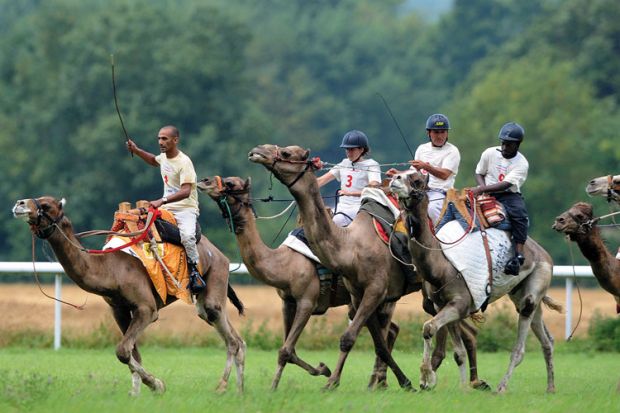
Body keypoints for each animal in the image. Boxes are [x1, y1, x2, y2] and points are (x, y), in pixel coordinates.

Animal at [12, 198, 245, 394]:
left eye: (46, 204)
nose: (19, 203)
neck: (110, 269)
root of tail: (221, 254)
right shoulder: (119, 309)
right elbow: (133, 353)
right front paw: (135, 393)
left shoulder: (146, 308)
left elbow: (123, 351)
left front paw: (156, 385)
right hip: (205, 301)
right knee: (235, 338)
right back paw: (239, 391)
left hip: (215, 277)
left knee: (231, 338)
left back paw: (222, 387)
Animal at [197, 175, 402, 388]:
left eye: (230, 184)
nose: (204, 181)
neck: (284, 263)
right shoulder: (287, 302)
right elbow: (290, 350)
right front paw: (322, 369)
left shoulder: (307, 301)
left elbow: (286, 350)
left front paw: (275, 386)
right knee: (390, 330)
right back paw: (378, 382)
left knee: (383, 330)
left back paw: (372, 382)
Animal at [247, 144, 484, 390]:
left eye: (285, 153)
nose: (257, 151)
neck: (350, 247)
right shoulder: (356, 294)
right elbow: (375, 342)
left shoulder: (371, 290)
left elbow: (347, 338)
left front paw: (331, 380)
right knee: (461, 329)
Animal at [392, 171, 560, 392]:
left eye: (417, 180)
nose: (395, 178)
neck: (441, 266)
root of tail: (546, 255)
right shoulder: (442, 304)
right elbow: (457, 351)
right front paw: (462, 388)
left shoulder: (460, 303)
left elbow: (428, 328)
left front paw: (427, 378)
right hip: (522, 293)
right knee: (547, 340)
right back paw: (550, 388)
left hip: (535, 284)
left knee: (520, 347)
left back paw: (501, 388)